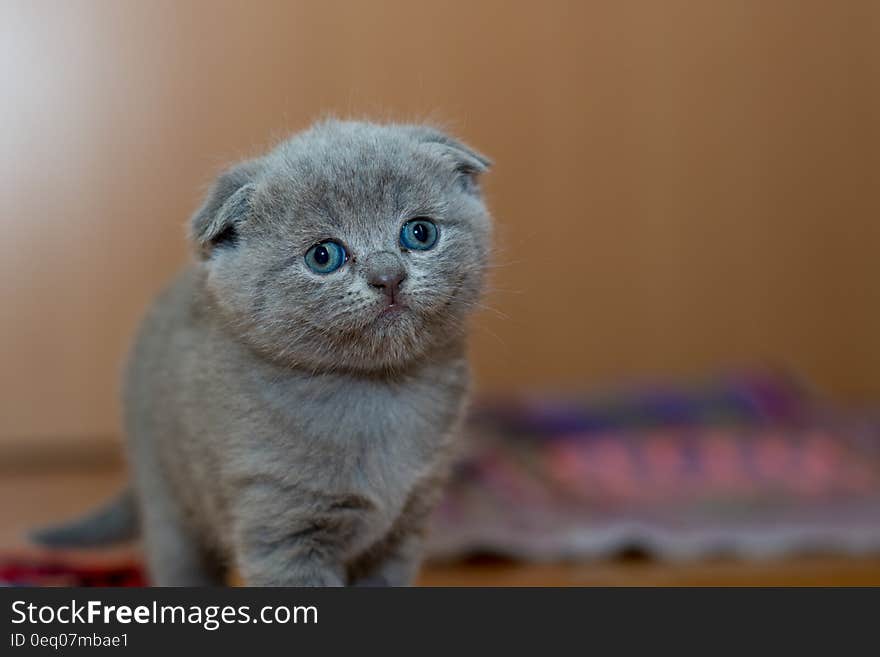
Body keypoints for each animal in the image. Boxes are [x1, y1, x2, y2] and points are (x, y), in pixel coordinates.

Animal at [32, 119, 496, 584]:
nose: (389, 275)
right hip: (168, 491)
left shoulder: (406, 522)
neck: (379, 396)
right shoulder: (280, 517)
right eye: (324, 256)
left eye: (420, 233)